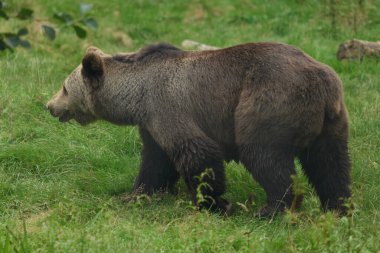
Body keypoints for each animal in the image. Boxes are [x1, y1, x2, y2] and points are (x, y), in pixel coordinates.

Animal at [46, 42, 352, 216]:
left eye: (64, 87)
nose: (49, 105)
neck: (136, 96)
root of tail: (324, 82)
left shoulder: (169, 107)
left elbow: (198, 154)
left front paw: (214, 203)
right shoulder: (151, 125)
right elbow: (155, 163)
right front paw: (134, 194)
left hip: (267, 102)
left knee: (265, 156)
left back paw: (273, 209)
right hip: (331, 124)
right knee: (331, 165)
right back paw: (338, 207)